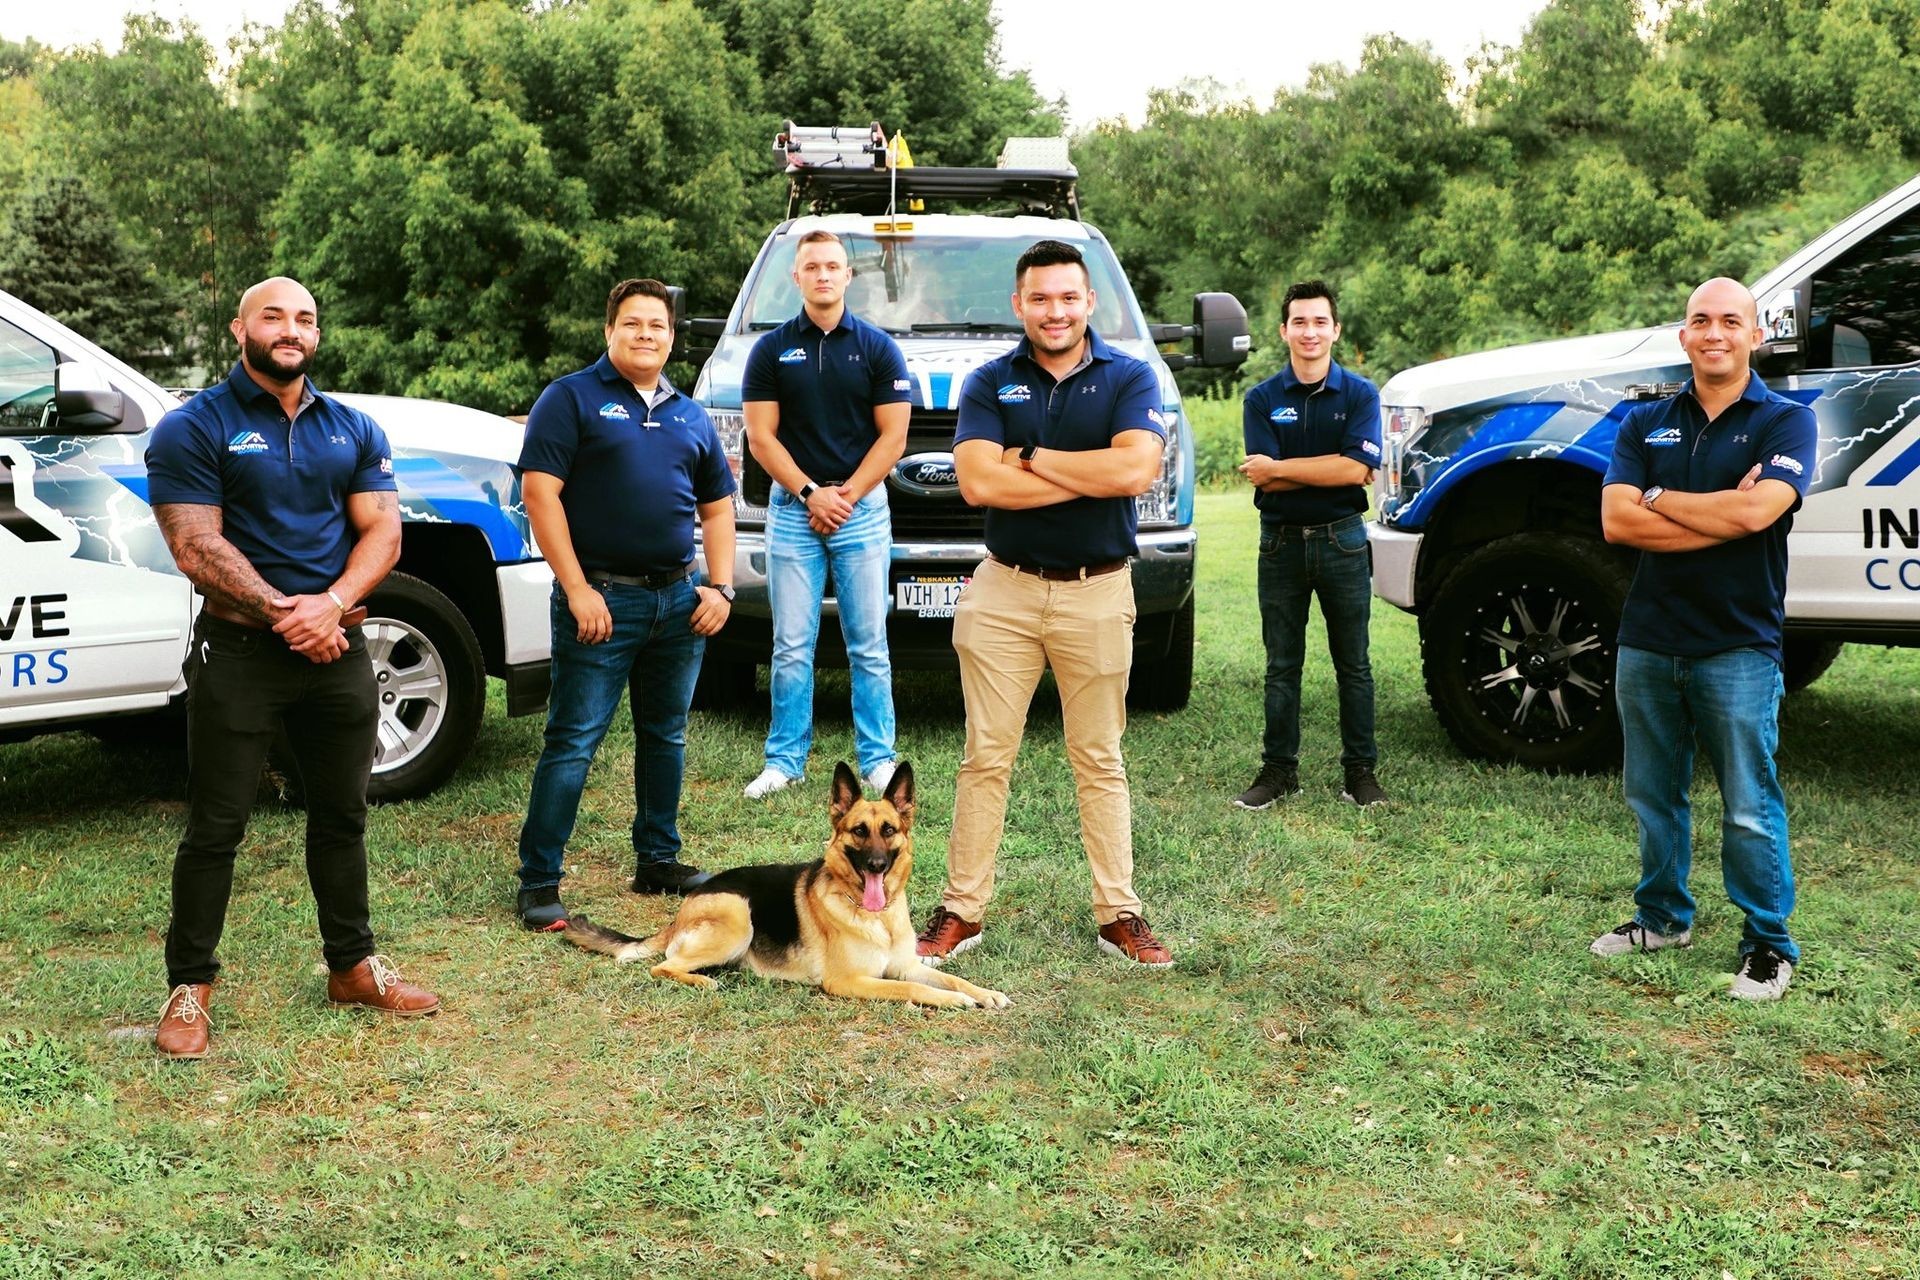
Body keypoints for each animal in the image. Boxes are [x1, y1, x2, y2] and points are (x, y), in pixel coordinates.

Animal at [560, 759, 1013, 1013]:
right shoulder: (851, 981)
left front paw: (983, 992)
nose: (877, 864)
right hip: (738, 915)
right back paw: (704, 981)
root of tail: (685, 907)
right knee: (663, 966)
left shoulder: (908, 964)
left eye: (888, 830)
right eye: (859, 831)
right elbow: (910, 988)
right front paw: (956, 1002)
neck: (875, 917)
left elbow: (949, 978)